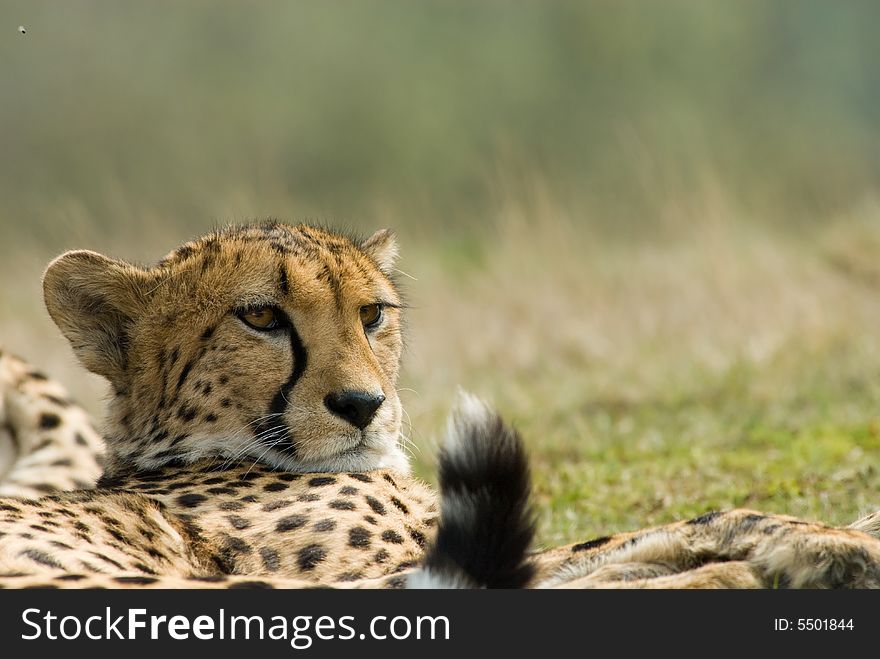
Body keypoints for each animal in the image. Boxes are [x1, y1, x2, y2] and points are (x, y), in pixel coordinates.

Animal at [1, 224, 880, 592]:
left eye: (372, 314)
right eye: (259, 317)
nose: (363, 404)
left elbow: (626, 539)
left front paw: (839, 535)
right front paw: (826, 544)